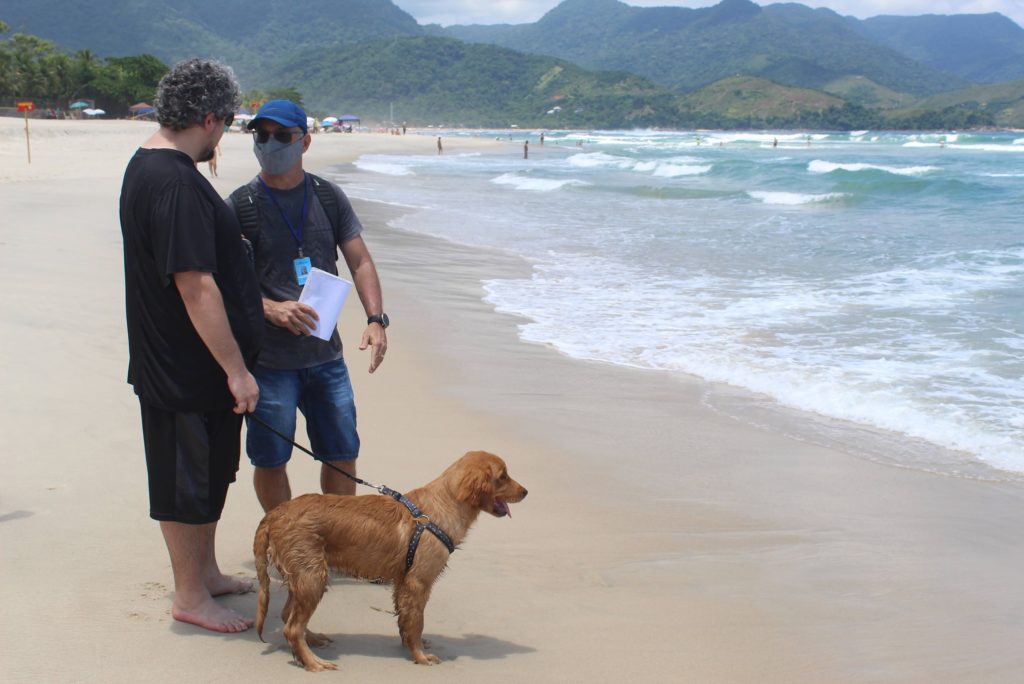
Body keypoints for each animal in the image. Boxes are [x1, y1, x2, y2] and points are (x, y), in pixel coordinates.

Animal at [253, 450, 528, 671]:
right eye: (503, 476)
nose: (526, 491)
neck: (443, 506)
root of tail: (276, 512)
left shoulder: (403, 581)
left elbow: (407, 621)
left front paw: (412, 646)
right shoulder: (418, 582)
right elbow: (417, 622)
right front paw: (421, 656)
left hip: (304, 576)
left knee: (288, 616)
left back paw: (312, 642)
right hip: (313, 576)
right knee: (292, 628)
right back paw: (313, 662)